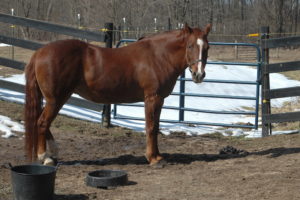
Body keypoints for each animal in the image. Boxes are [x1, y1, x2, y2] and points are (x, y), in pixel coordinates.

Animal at [25, 23, 211, 166]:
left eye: (207, 47)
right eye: (190, 46)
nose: (199, 75)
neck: (159, 55)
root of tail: (39, 52)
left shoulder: (159, 100)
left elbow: (156, 126)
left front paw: (158, 156)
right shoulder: (152, 98)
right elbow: (151, 127)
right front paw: (152, 158)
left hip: (55, 99)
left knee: (42, 122)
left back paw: (53, 153)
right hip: (55, 99)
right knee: (42, 123)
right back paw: (45, 158)